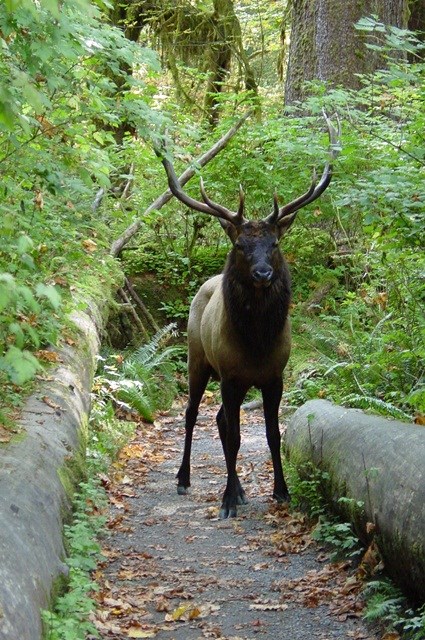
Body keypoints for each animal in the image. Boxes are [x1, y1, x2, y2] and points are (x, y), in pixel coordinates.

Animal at [157, 112, 340, 516]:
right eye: (240, 244)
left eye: (274, 243)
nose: (263, 273)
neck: (256, 344)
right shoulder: (230, 376)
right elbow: (237, 436)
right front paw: (227, 500)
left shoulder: (274, 376)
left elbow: (272, 434)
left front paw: (281, 491)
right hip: (197, 359)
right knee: (193, 414)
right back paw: (183, 479)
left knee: (219, 419)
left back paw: (238, 488)